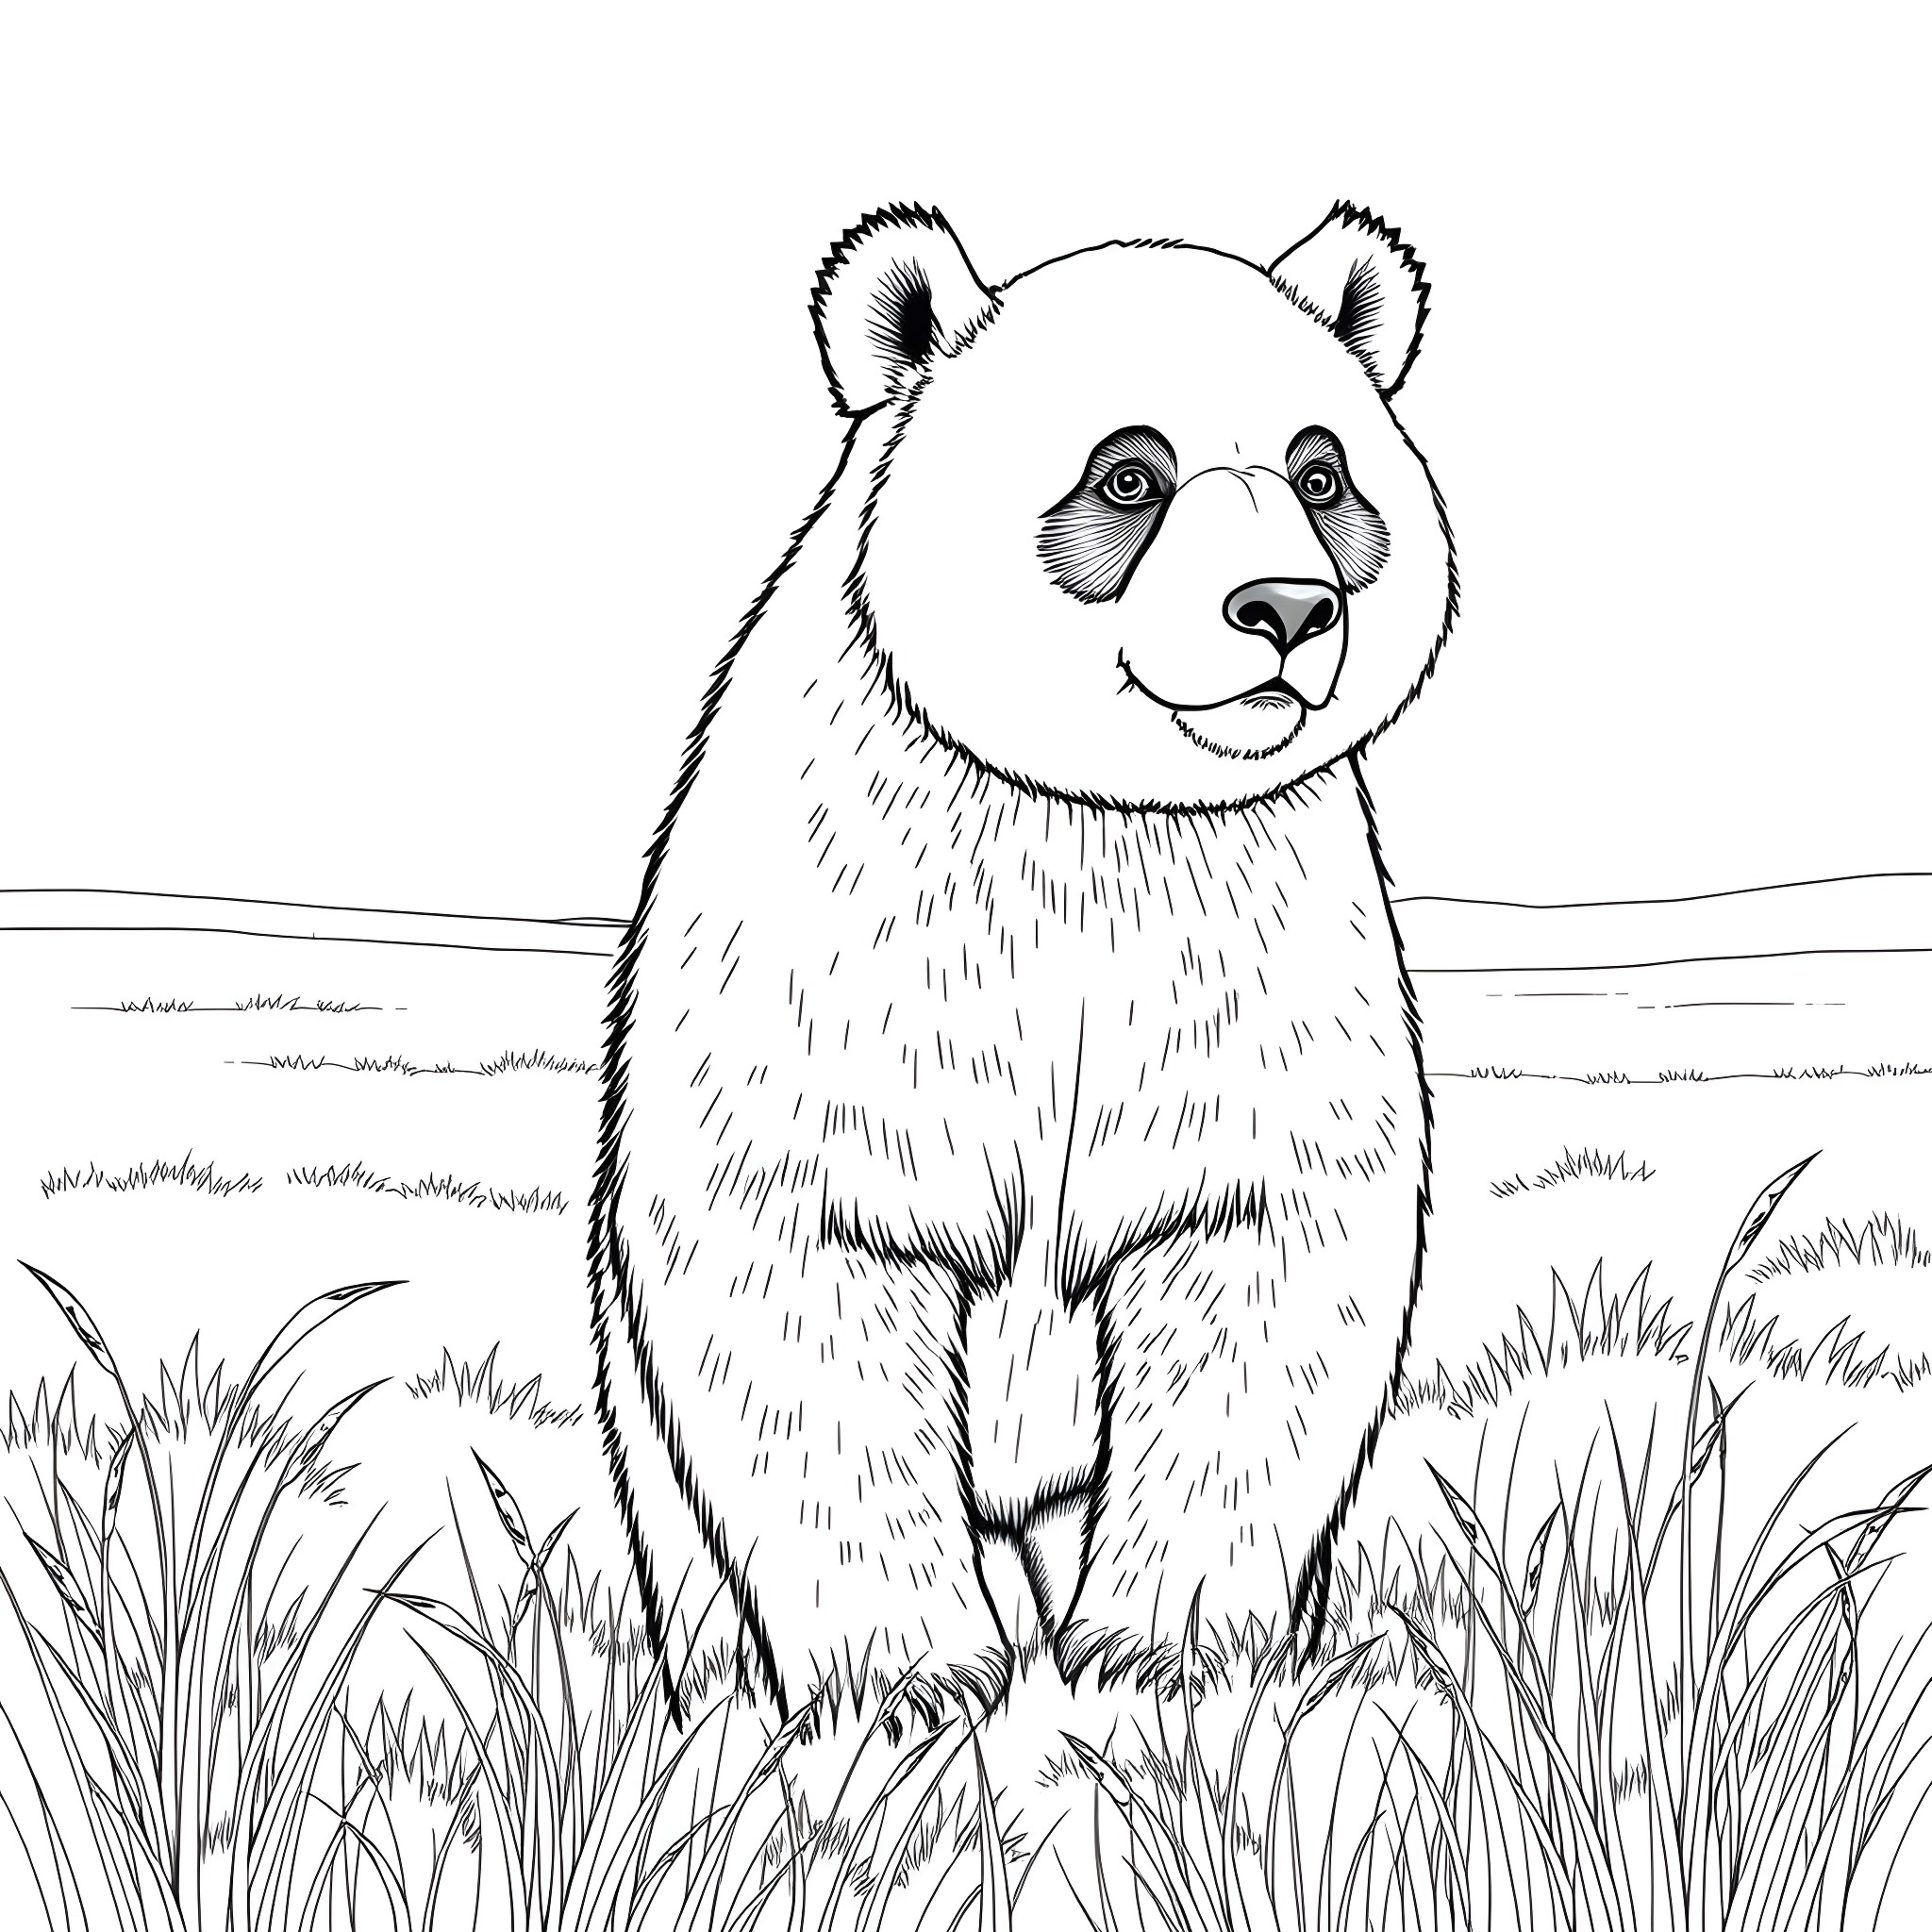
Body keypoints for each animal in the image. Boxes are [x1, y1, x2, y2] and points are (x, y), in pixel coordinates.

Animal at [590, 201, 1456, 1728]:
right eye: (1129, 473)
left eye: (1322, 471)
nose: (1285, 609)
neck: (1097, 815)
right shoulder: (849, 952)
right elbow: (805, 1271)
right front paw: (904, 1687)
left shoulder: (1251, 955)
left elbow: (1263, 1263)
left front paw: (1173, 1655)